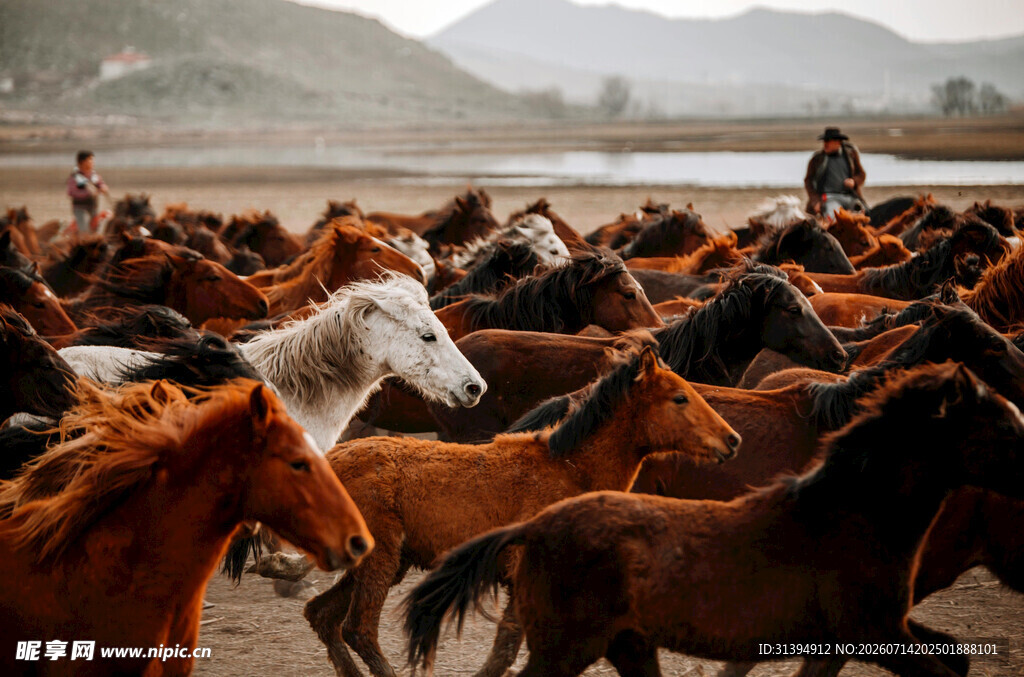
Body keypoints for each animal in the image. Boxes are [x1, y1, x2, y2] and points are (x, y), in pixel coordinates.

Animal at [304, 347, 740, 677]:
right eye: (679, 398)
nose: (731, 440)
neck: (569, 468)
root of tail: (330, 461)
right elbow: (508, 646)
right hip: (382, 558)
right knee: (358, 629)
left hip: (384, 563)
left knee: (322, 616)